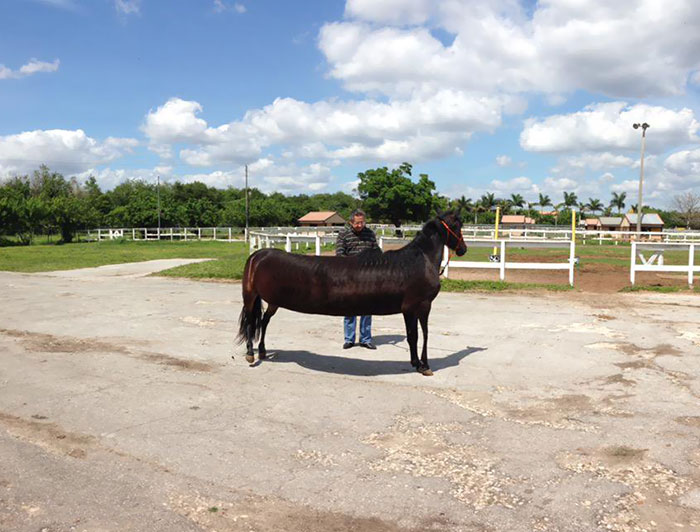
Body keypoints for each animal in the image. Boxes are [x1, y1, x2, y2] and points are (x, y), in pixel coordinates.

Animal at [236, 211, 467, 375]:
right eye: (457, 225)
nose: (463, 249)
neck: (420, 260)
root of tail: (258, 254)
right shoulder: (417, 306)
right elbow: (419, 335)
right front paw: (423, 365)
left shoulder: (414, 308)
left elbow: (415, 336)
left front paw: (417, 363)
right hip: (250, 297)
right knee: (250, 323)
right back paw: (250, 354)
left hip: (272, 301)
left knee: (264, 321)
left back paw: (262, 351)